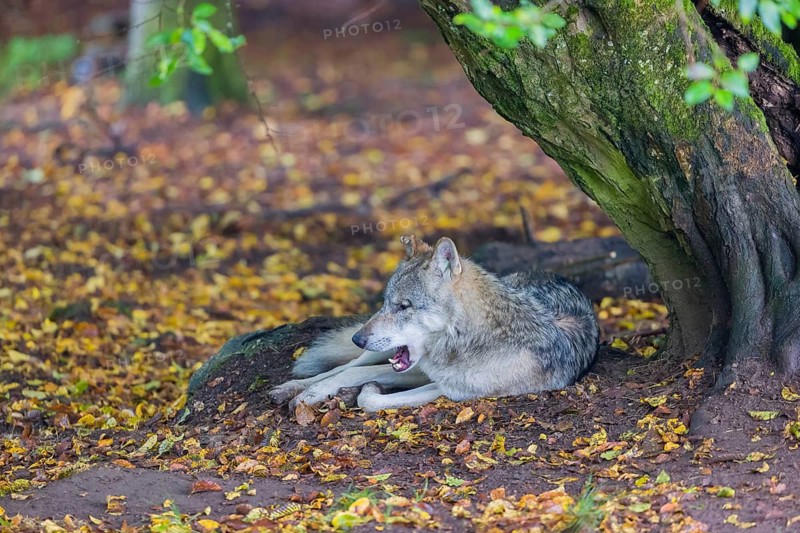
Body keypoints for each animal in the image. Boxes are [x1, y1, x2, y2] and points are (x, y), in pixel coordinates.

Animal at [269, 235, 599, 412]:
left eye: (404, 306)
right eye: (385, 302)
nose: (357, 339)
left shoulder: (447, 390)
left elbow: (371, 400)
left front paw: (362, 392)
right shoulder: (425, 373)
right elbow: (352, 374)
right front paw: (310, 393)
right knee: (348, 365)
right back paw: (292, 388)